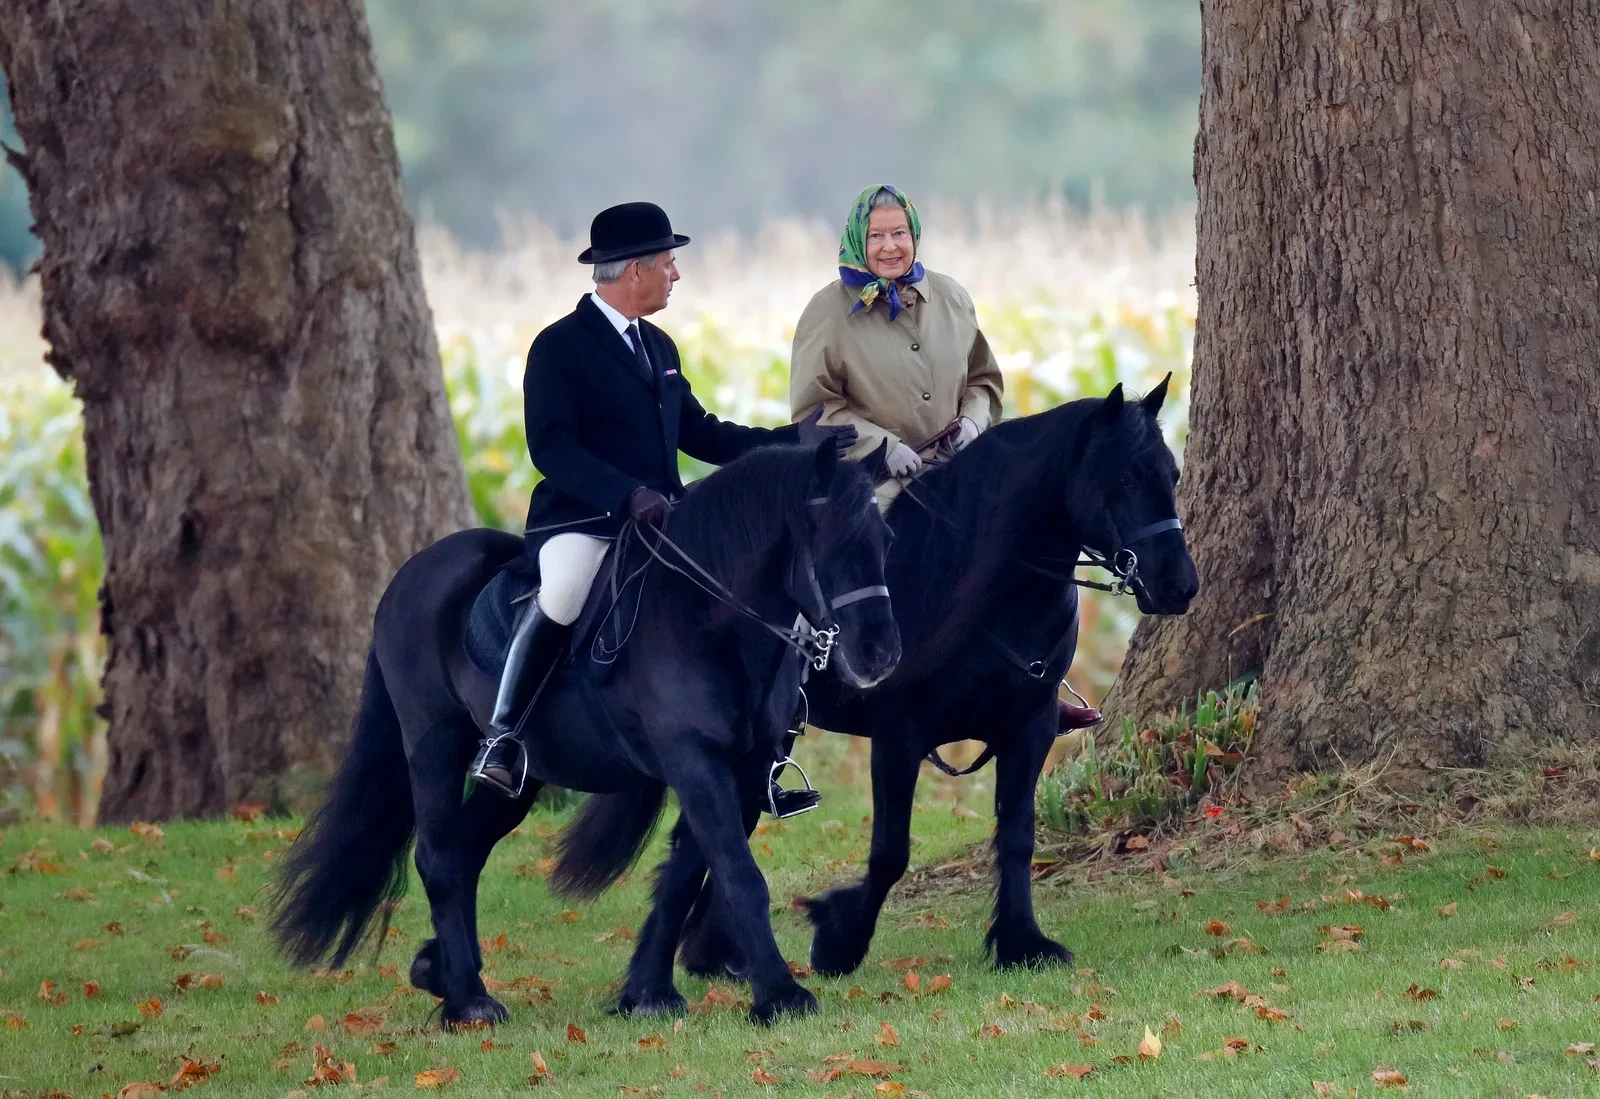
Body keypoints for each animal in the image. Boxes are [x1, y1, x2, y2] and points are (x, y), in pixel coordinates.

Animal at [272, 441, 902, 1030]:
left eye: (885, 540)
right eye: (828, 542)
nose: (880, 655)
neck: (706, 619)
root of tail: (410, 574)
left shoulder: (743, 769)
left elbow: (686, 875)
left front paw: (648, 993)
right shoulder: (694, 761)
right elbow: (738, 874)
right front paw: (780, 996)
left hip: (522, 777)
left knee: (465, 849)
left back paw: (444, 972)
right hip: (435, 743)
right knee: (438, 855)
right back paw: (470, 1003)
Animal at [656, 380, 1196, 979]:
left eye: (1172, 473)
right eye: (1123, 478)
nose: (1178, 585)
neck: (978, 584)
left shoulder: (1029, 727)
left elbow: (1017, 837)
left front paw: (1022, 941)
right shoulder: (900, 734)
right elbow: (891, 852)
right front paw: (839, 939)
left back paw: (713, 949)